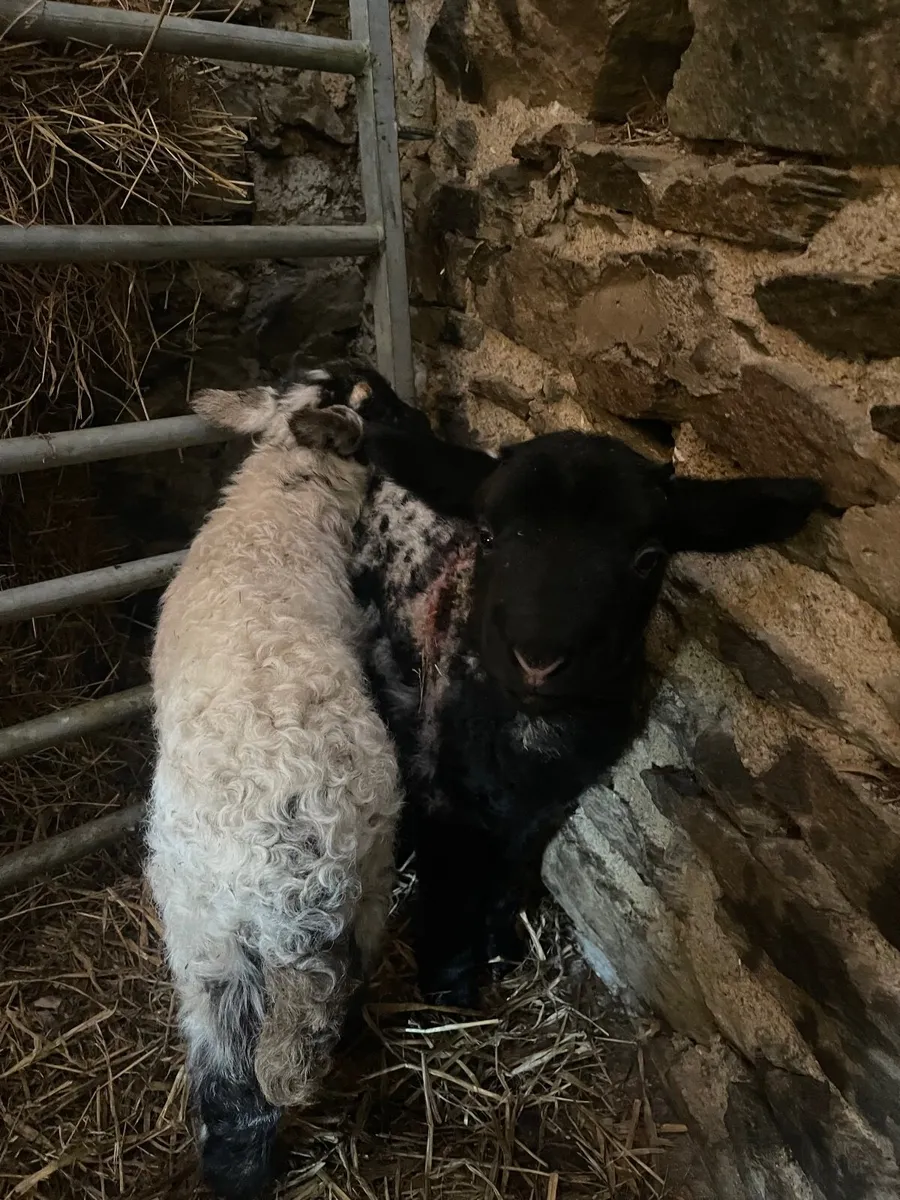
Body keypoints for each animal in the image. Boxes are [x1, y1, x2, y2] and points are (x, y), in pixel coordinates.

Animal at [145, 381, 402, 1200]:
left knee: (230, 1079)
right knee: (345, 984)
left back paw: (237, 1176)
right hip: (365, 879)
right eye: (382, 405)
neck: (280, 498)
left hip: (201, 940)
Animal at [299, 363, 823, 1011]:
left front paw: (500, 949)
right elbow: (450, 884)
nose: (537, 661)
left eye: (649, 558)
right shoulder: (445, 791)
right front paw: (451, 986)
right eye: (488, 537)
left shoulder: (549, 806)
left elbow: (511, 877)